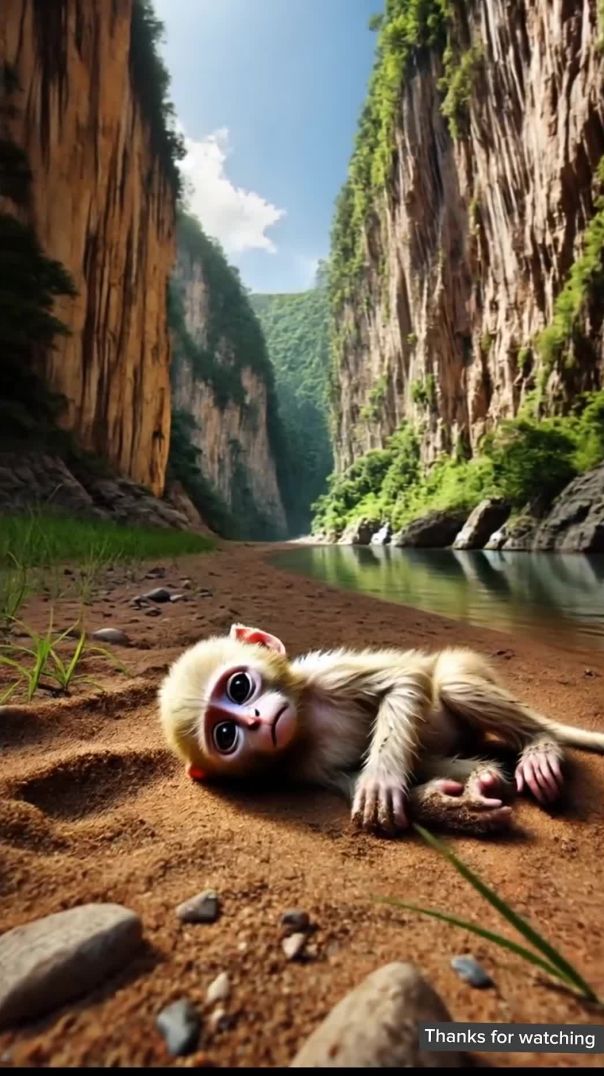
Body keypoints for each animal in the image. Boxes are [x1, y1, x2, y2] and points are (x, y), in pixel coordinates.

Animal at [158, 623, 604, 837]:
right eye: (225, 736)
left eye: (239, 687)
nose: (254, 720)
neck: (306, 721)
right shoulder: (303, 767)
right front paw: (461, 798)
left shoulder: (325, 674)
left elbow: (404, 679)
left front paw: (381, 781)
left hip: (467, 666)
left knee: (451, 683)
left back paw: (540, 745)